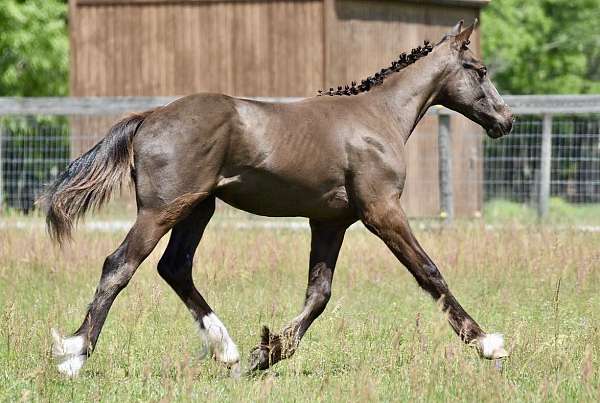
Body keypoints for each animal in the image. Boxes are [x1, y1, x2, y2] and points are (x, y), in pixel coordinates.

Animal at [42, 19, 510, 378]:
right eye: (480, 70)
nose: (506, 120)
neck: (379, 118)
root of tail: (149, 116)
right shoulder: (382, 211)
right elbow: (429, 272)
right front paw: (488, 343)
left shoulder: (330, 222)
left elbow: (318, 294)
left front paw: (266, 353)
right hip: (161, 210)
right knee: (119, 265)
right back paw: (74, 357)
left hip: (198, 208)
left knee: (174, 267)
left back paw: (227, 351)